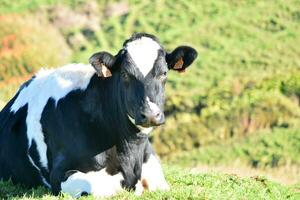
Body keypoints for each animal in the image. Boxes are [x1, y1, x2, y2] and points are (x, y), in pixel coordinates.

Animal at [0, 32, 198, 197]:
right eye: (124, 74)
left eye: (164, 73)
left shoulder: (156, 176)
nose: (150, 114)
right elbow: (102, 187)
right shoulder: (60, 173)